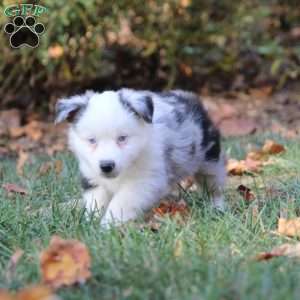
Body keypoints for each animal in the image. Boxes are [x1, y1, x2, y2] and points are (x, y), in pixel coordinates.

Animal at [55, 89, 226, 225]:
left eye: (122, 138)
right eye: (92, 140)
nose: (106, 166)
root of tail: (189, 97)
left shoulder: (144, 181)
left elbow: (121, 203)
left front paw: (108, 225)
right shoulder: (92, 178)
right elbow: (96, 201)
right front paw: (91, 220)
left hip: (209, 161)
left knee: (214, 185)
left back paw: (217, 207)